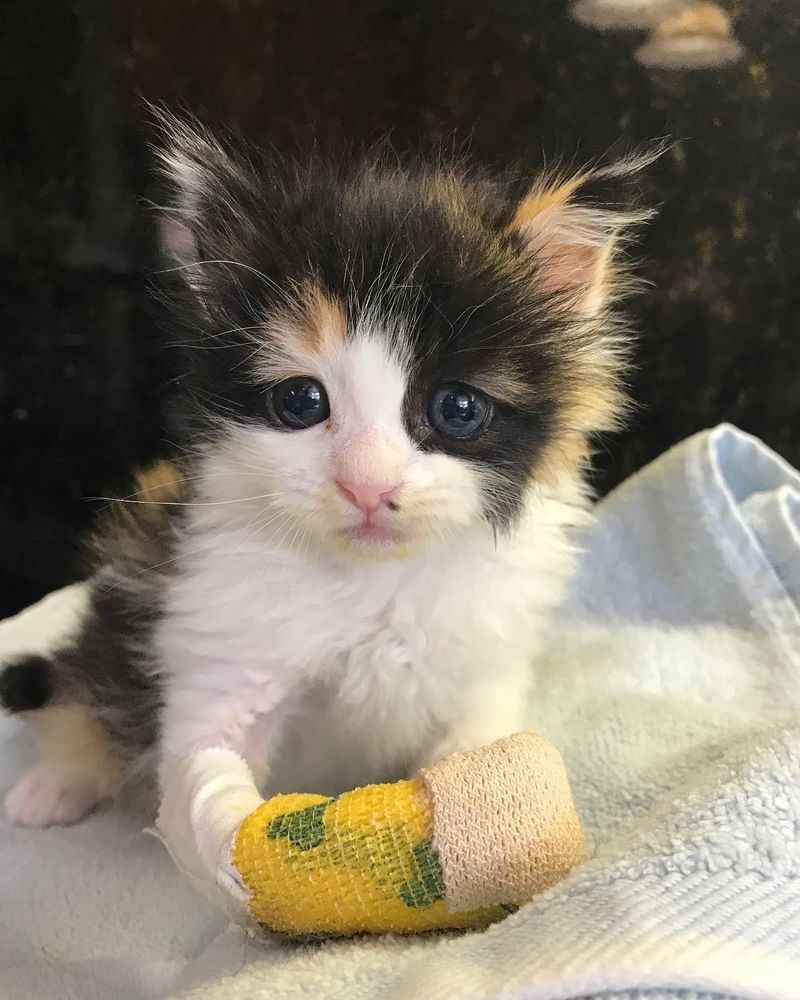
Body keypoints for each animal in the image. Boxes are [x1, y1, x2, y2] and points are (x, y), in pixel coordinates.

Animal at [0, 113, 652, 824]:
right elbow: (211, 785)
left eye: (456, 408)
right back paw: (56, 783)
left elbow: (476, 761)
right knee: (88, 684)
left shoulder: (482, 672)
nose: (367, 486)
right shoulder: (219, 642)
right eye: (300, 402)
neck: (373, 581)